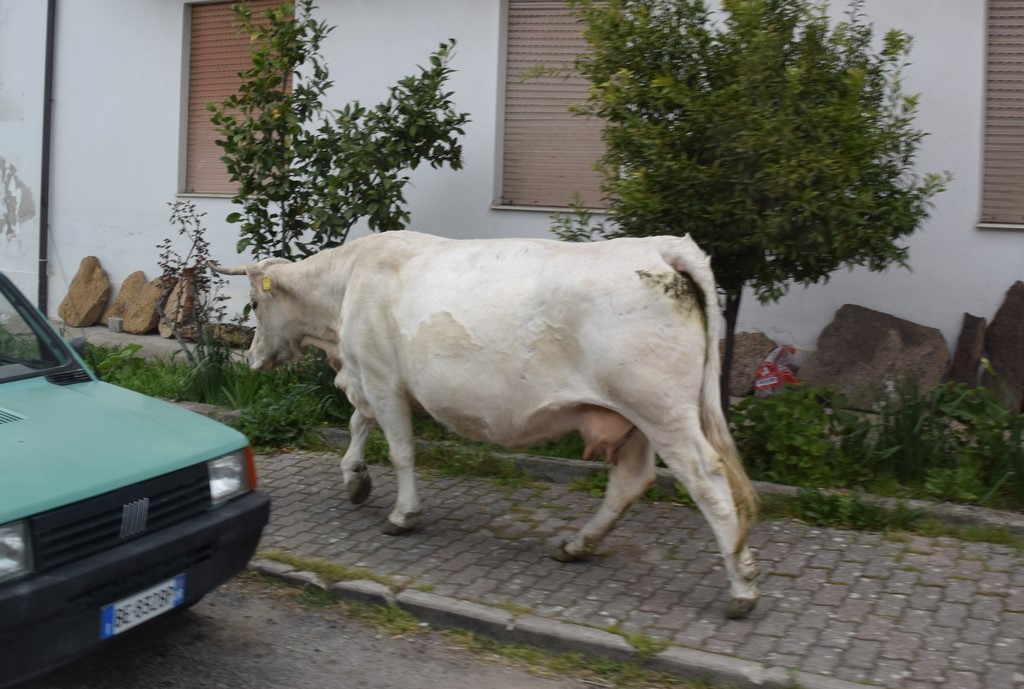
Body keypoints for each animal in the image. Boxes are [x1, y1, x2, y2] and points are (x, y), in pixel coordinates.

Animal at [214, 231, 761, 618]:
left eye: (256, 303)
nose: (251, 357)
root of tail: (662, 246)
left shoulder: (382, 377)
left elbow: (399, 448)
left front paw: (403, 514)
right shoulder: (367, 375)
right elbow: (356, 424)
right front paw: (354, 479)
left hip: (662, 409)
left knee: (708, 481)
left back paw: (742, 588)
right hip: (630, 417)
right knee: (631, 480)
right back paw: (578, 545)